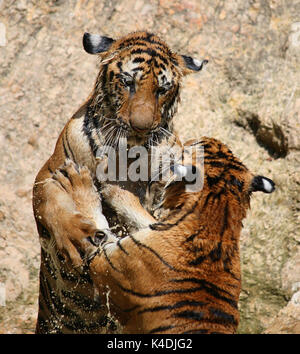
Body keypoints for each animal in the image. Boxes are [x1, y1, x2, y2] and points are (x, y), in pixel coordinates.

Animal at [32, 31, 206, 334]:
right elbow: (51, 204)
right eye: (127, 82)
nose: (141, 126)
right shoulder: (49, 173)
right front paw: (74, 236)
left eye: (162, 89)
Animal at [55, 137, 276, 334]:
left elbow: (101, 220)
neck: (218, 219)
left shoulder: (105, 262)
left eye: (197, 145)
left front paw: (80, 181)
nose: (205, 137)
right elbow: (138, 214)